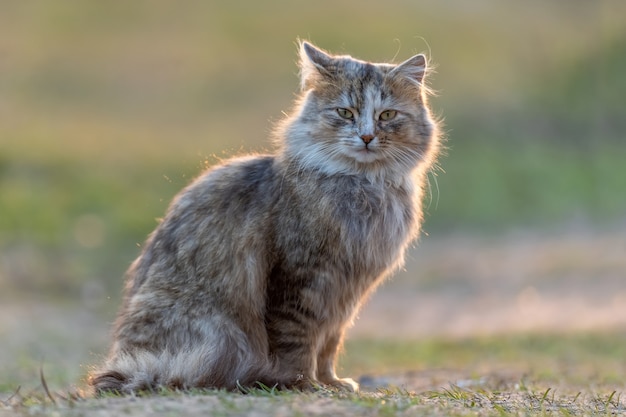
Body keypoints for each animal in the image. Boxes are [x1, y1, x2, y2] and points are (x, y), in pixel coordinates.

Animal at [89, 39, 438, 394]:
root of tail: (126, 358)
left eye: (387, 115)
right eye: (345, 113)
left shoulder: (345, 294)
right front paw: (304, 384)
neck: (364, 186)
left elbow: (329, 344)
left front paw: (332, 382)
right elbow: (297, 343)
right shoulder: (301, 278)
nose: (367, 137)